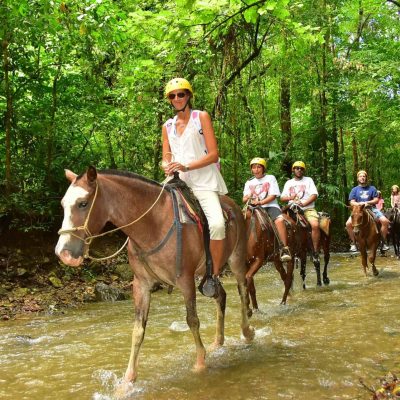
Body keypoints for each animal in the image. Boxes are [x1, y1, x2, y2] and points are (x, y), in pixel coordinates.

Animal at [55, 166, 255, 384]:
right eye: (63, 204)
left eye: (83, 203)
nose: (63, 253)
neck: (153, 225)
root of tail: (233, 205)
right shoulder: (141, 284)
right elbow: (138, 330)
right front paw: (128, 380)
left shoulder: (185, 281)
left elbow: (192, 320)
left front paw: (200, 364)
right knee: (221, 296)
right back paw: (218, 342)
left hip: (236, 259)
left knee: (242, 290)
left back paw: (247, 332)